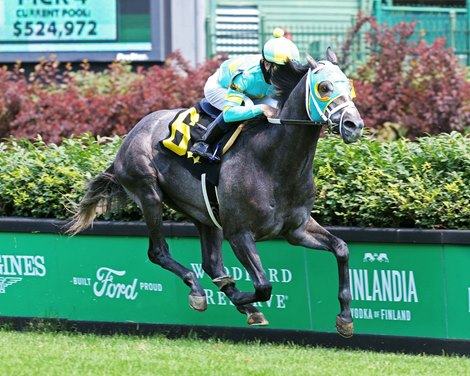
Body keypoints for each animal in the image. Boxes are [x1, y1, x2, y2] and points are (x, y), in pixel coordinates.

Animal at [68, 50, 366, 338]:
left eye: (349, 85)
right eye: (324, 87)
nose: (354, 125)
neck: (273, 162)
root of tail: (130, 135)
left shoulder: (297, 229)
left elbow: (341, 248)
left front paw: (345, 318)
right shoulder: (239, 233)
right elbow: (263, 285)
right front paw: (241, 298)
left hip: (204, 214)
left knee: (211, 264)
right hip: (149, 193)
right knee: (158, 252)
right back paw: (199, 292)